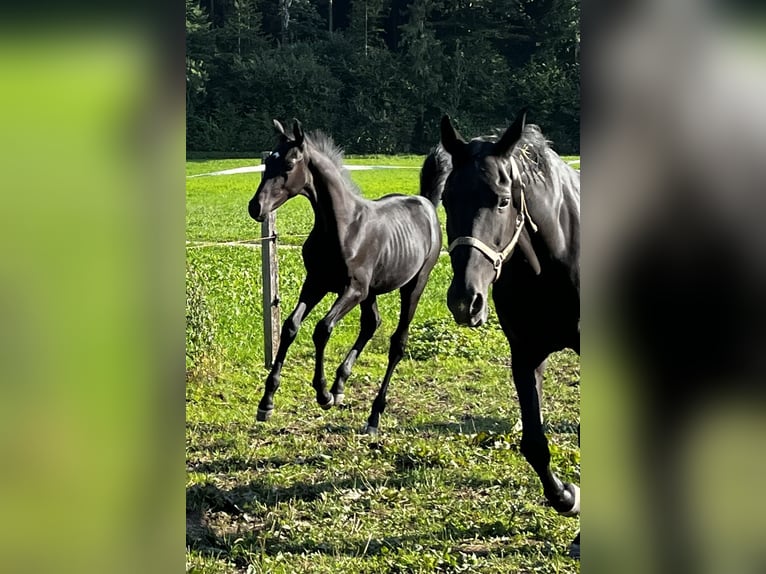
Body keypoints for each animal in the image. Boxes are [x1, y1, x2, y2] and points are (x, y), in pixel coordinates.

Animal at [249, 120, 440, 436]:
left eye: (289, 164)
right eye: (268, 163)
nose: (256, 207)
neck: (343, 227)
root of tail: (428, 204)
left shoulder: (352, 290)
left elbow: (322, 329)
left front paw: (322, 393)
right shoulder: (316, 283)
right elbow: (290, 326)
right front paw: (266, 402)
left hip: (413, 285)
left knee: (398, 343)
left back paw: (373, 416)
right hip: (372, 292)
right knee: (372, 323)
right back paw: (341, 385)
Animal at [426, 110, 584, 556]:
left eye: (501, 200)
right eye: (447, 199)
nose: (466, 301)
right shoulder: (526, 355)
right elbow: (533, 444)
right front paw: (567, 497)